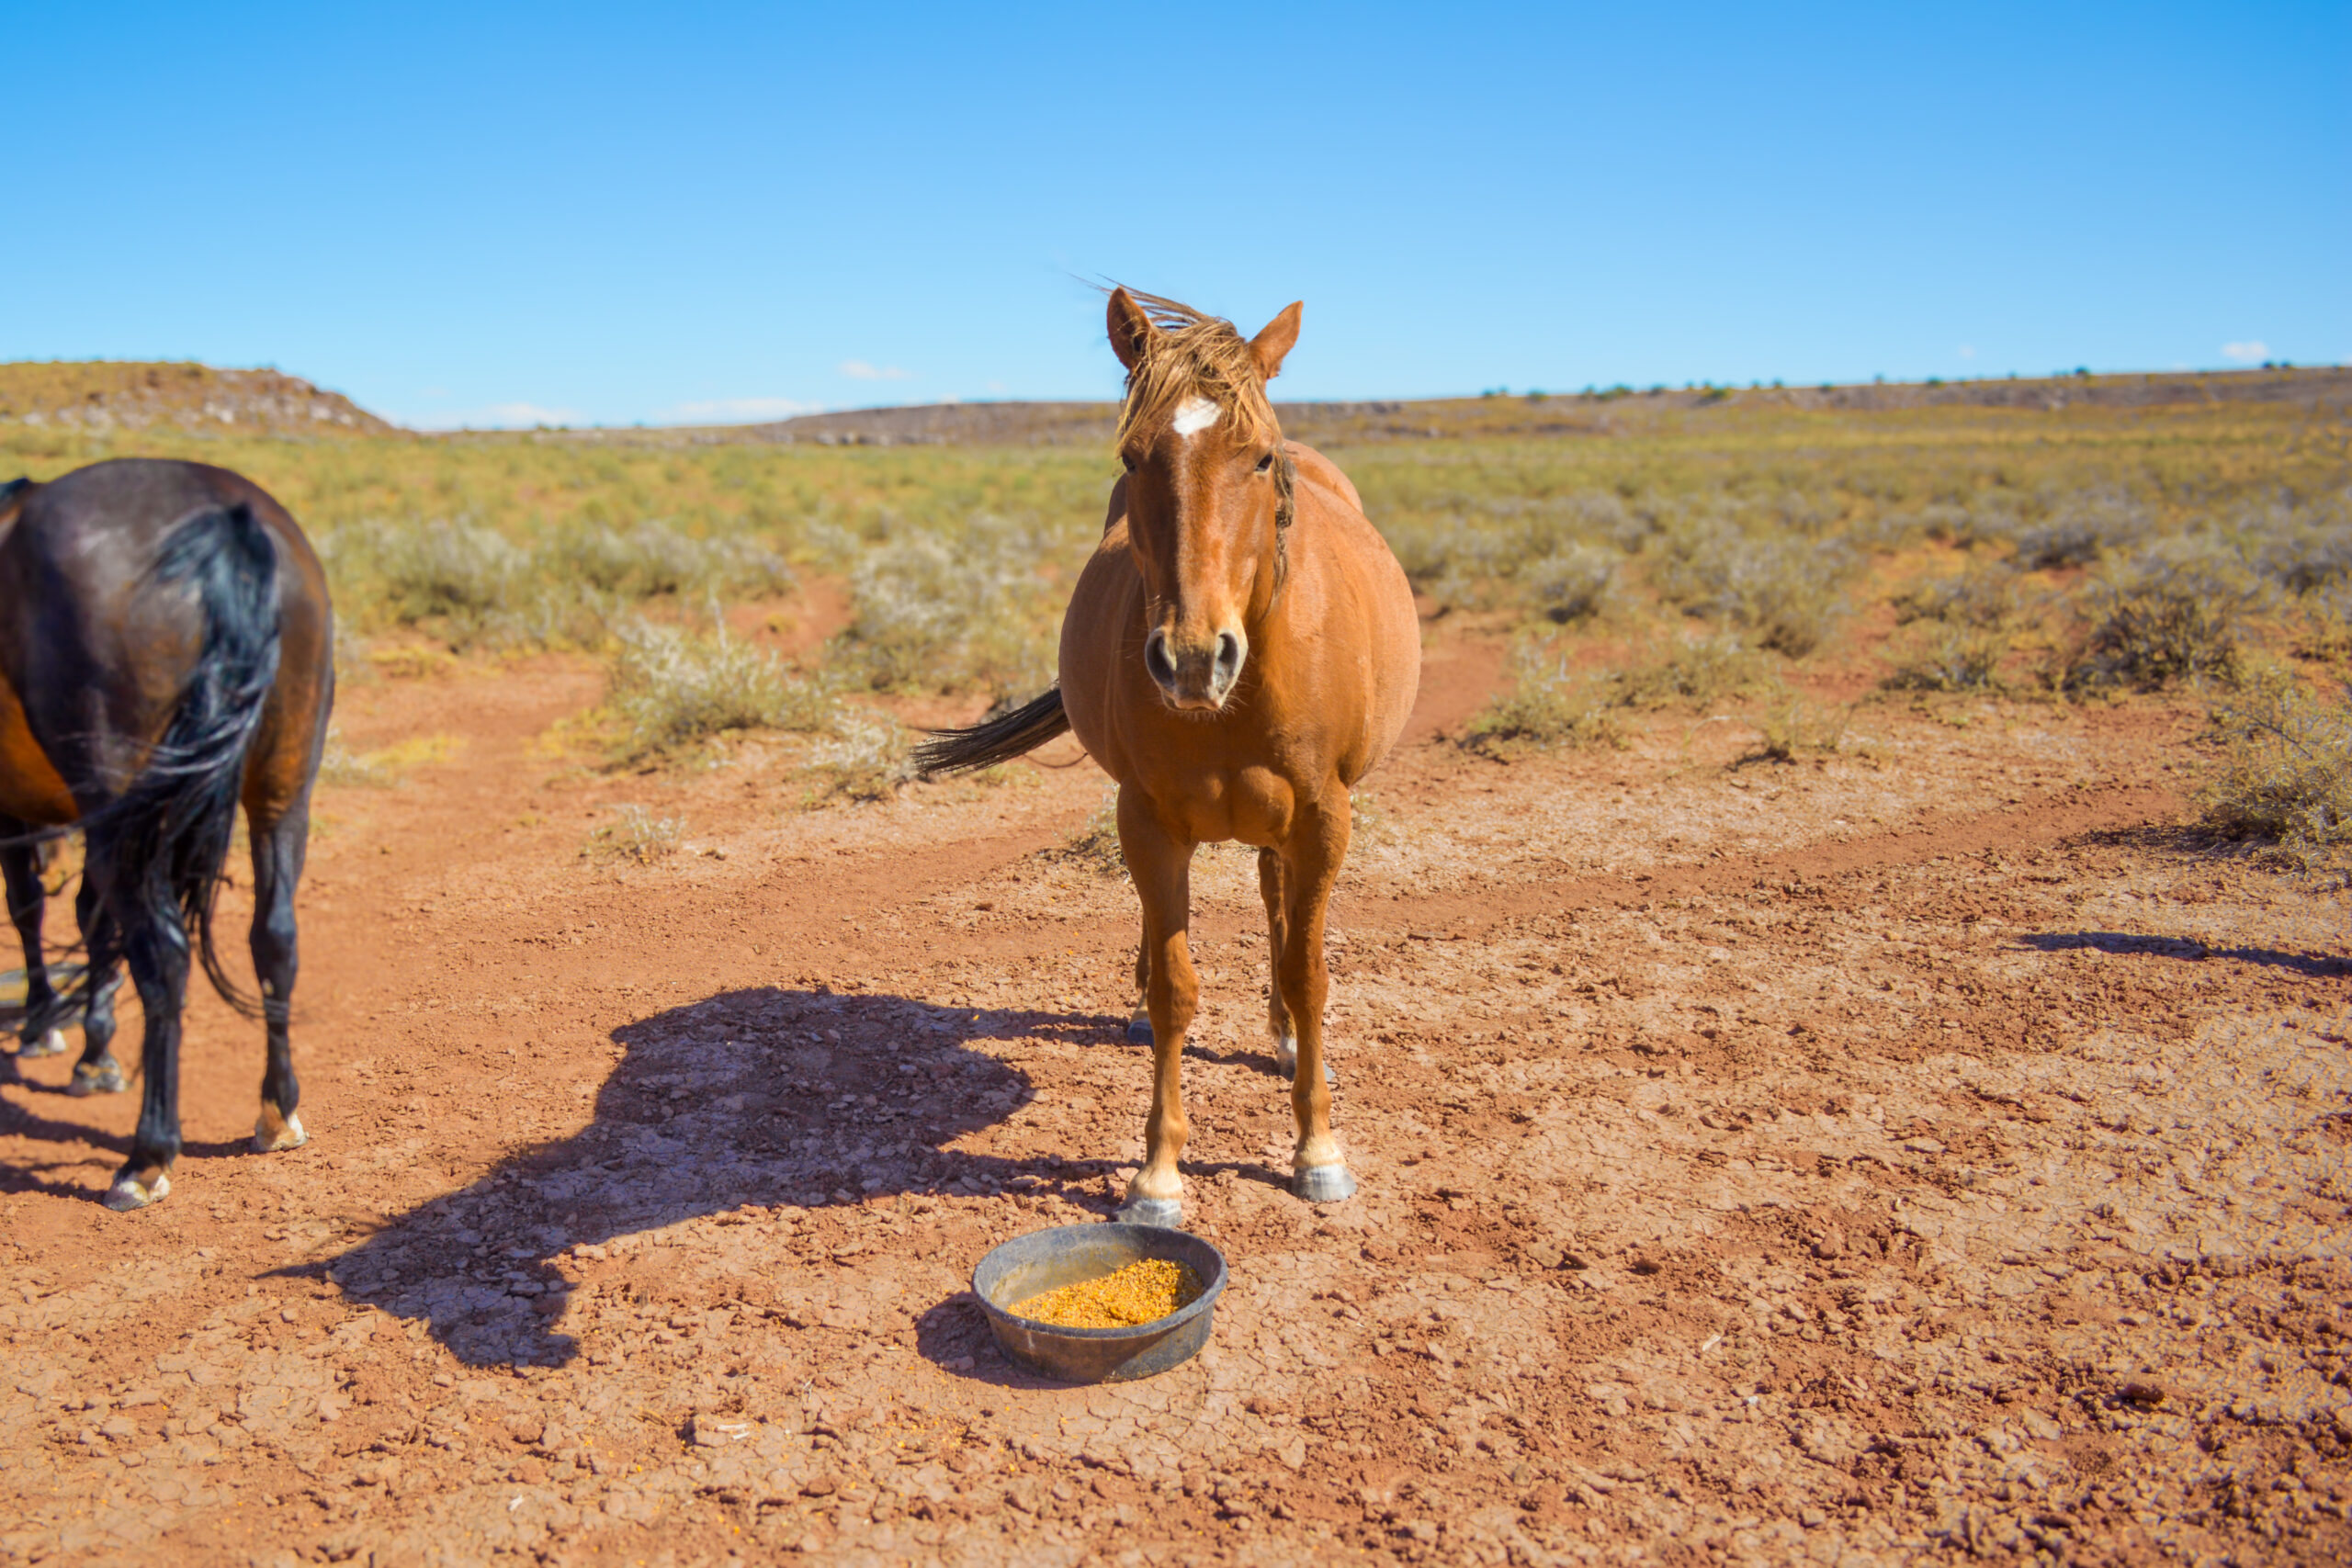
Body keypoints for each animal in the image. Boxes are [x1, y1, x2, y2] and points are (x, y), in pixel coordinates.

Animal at [0, 458, 335, 1210]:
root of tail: (224, 515)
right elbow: (87, 919)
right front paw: (93, 1052)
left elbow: (33, 909)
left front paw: (46, 1028)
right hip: (281, 791)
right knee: (276, 937)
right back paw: (278, 1110)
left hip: (126, 806)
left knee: (164, 954)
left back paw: (146, 1156)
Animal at [917, 289, 1419, 1225]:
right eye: (1132, 454)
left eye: (1259, 458)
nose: (1191, 658)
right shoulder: (1147, 821)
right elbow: (1177, 991)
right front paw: (1157, 1174)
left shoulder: (1323, 820)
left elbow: (1309, 972)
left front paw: (1318, 1148)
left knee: (1275, 905)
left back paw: (1286, 1039)